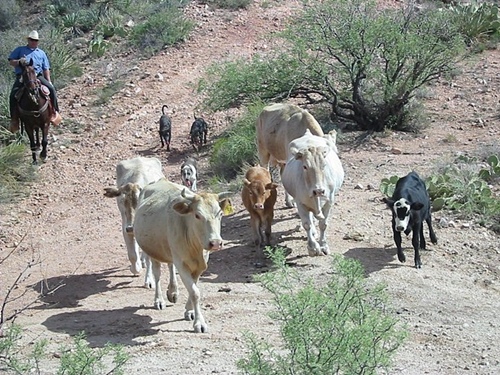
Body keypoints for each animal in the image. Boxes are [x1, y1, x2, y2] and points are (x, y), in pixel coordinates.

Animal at [103, 157, 164, 286]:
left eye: (139, 200)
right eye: (121, 201)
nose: (130, 227)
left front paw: (149, 280)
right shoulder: (125, 227)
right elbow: (132, 255)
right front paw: (135, 268)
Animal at [133, 178, 230, 334]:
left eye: (220, 214)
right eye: (197, 215)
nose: (215, 243)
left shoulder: (200, 265)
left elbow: (193, 289)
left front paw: (189, 311)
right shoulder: (182, 264)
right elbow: (195, 292)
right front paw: (199, 323)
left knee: (170, 265)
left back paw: (173, 292)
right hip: (153, 251)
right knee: (157, 274)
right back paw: (159, 300)